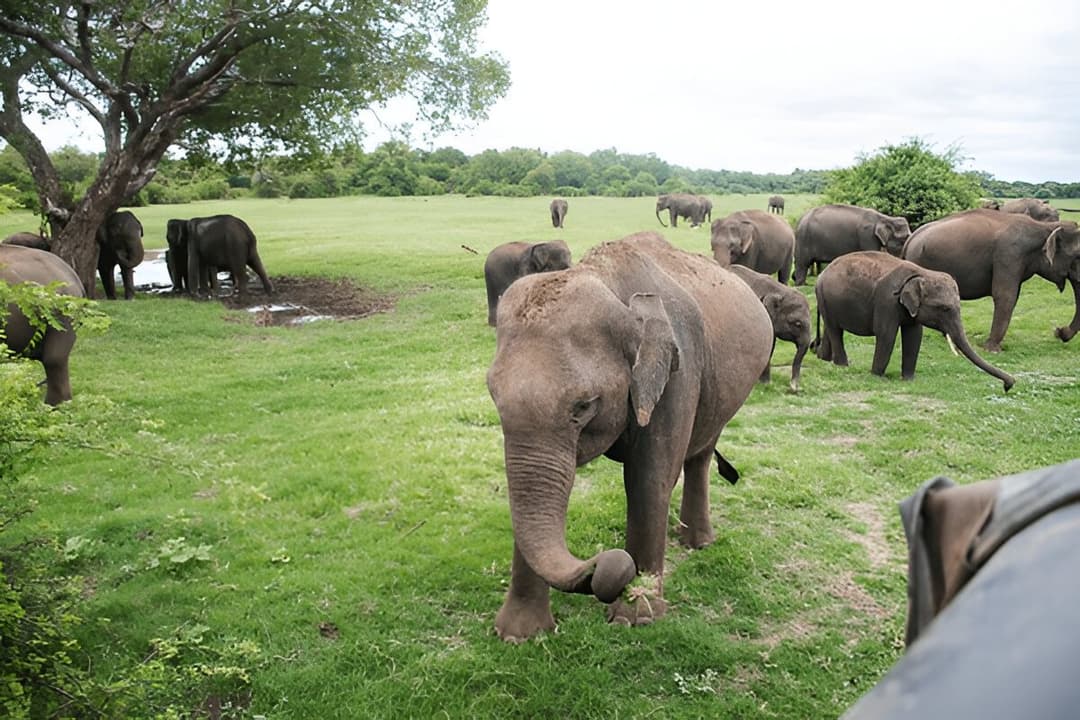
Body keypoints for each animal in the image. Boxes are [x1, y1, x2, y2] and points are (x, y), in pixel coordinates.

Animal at [486, 231, 773, 642]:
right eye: (493, 394)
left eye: (584, 405)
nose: (610, 565)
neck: (609, 285)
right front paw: (519, 635)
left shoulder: (678, 371)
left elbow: (648, 481)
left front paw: (635, 617)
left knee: (701, 452)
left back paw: (697, 543)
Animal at [814, 251, 1015, 391]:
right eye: (944, 309)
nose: (1009, 384)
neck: (921, 273)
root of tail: (821, 275)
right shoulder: (886, 302)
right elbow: (886, 335)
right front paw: (878, 377)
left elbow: (914, 335)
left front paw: (909, 379)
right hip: (825, 297)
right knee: (835, 329)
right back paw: (842, 365)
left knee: (831, 329)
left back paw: (825, 359)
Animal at [902, 209, 1080, 352]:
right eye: (1078, 256)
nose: (1059, 332)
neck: (1043, 227)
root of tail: (909, 240)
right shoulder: (1009, 255)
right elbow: (1005, 296)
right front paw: (992, 349)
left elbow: (1012, 297)